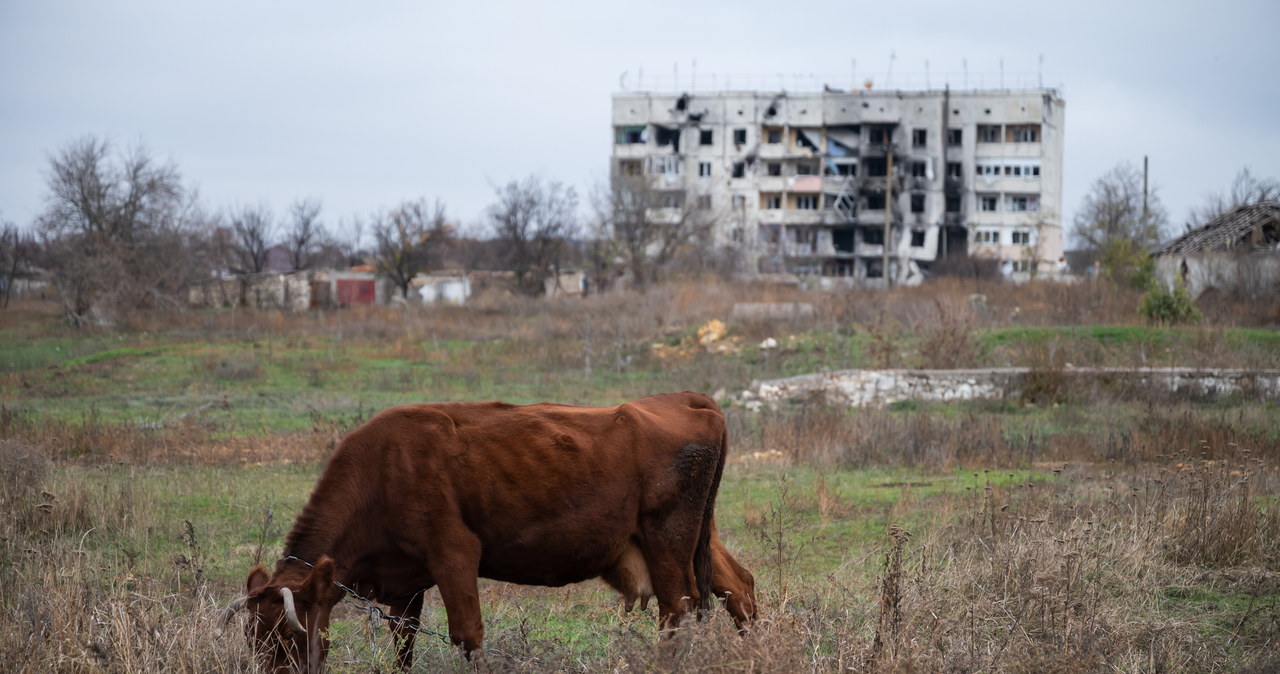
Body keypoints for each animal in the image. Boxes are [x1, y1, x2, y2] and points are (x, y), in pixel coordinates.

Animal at [236, 393, 752, 670]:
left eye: (286, 636)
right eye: (252, 638)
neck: (381, 471)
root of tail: (683, 399)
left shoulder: (454, 554)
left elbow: (468, 636)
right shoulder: (404, 584)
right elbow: (403, 646)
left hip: (668, 539)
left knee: (677, 609)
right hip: (697, 537)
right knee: (738, 587)